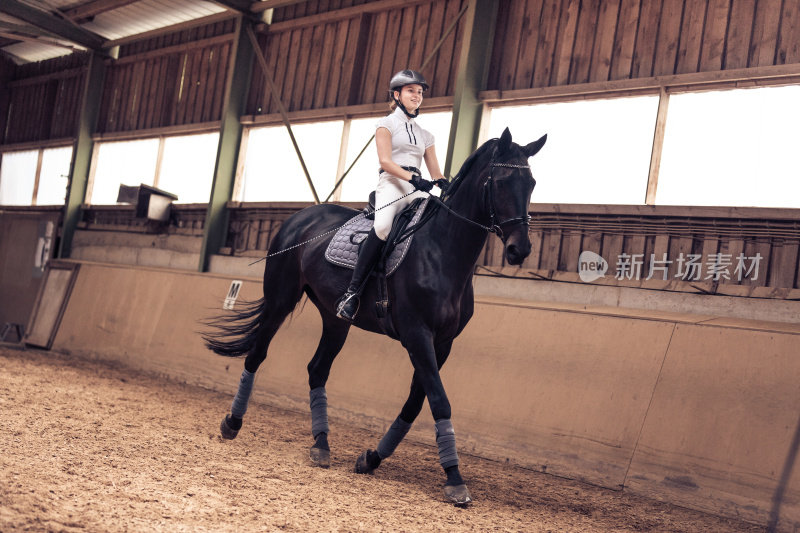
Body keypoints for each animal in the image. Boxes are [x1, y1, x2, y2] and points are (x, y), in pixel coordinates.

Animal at [203, 127, 548, 504]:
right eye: (500, 182)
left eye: (531, 183)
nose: (520, 250)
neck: (443, 251)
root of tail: (300, 217)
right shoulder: (417, 335)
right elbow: (439, 401)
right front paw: (455, 479)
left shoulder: (442, 343)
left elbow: (416, 403)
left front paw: (371, 458)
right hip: (281, 300)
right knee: (257, 354)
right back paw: (232, 424)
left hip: (335, 319)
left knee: (317, 369)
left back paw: (321, 445)